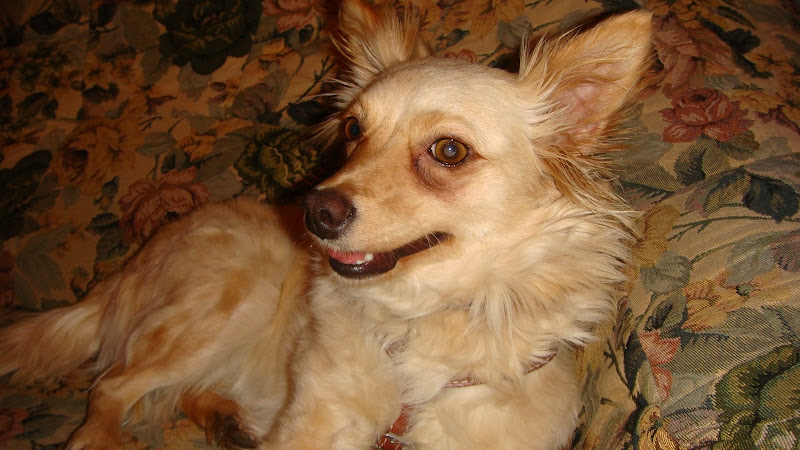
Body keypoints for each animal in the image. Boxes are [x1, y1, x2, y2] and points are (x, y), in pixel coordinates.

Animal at [0, 1, 652, 448]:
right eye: (354, 131)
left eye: (449, 152)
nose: (316, 209)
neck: (419, 323)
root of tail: (126, 271)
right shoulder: (315, 422)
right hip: (233, 299)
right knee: (113, 386)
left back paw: (227, 420)